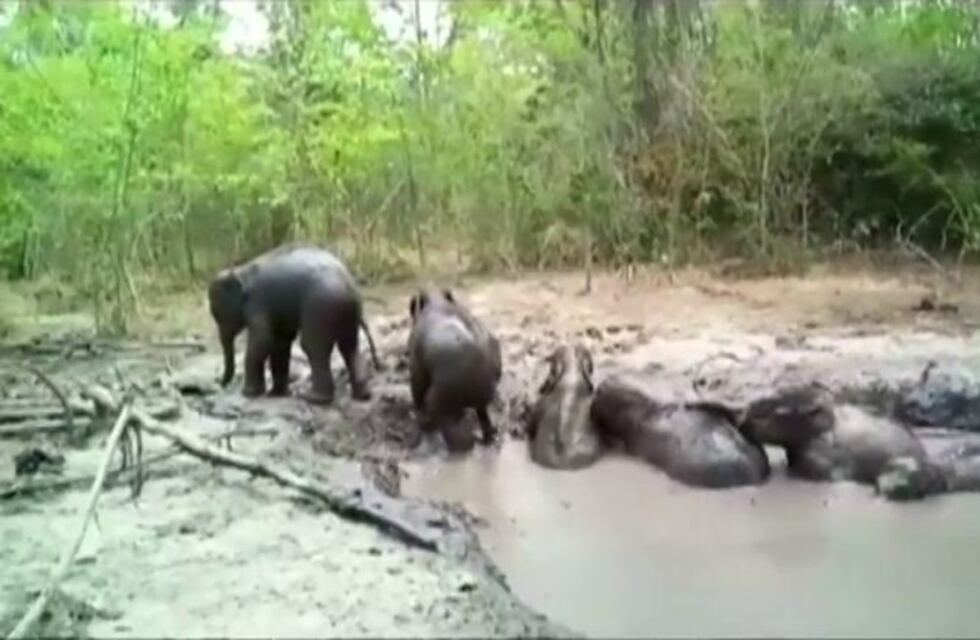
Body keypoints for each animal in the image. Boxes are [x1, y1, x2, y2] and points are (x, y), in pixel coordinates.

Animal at [207, 244, 381, 404]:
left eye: (217, 314)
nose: (219, 383)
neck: (240, 271)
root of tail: (349, 286)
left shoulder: (257, 304)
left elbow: (263, 341)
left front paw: (249, 394)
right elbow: (280, 341)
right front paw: (276, 394)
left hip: (320, 307)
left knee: (313, 346)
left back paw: (312, 398)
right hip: (347, 312)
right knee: (349, 346)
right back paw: (362, 395)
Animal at [407, 288, 502, 452]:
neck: (437, 303)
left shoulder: (416, 365)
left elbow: (417, 388)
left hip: (441, 405)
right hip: (480, 402)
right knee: (484, 419)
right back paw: (489, 438)